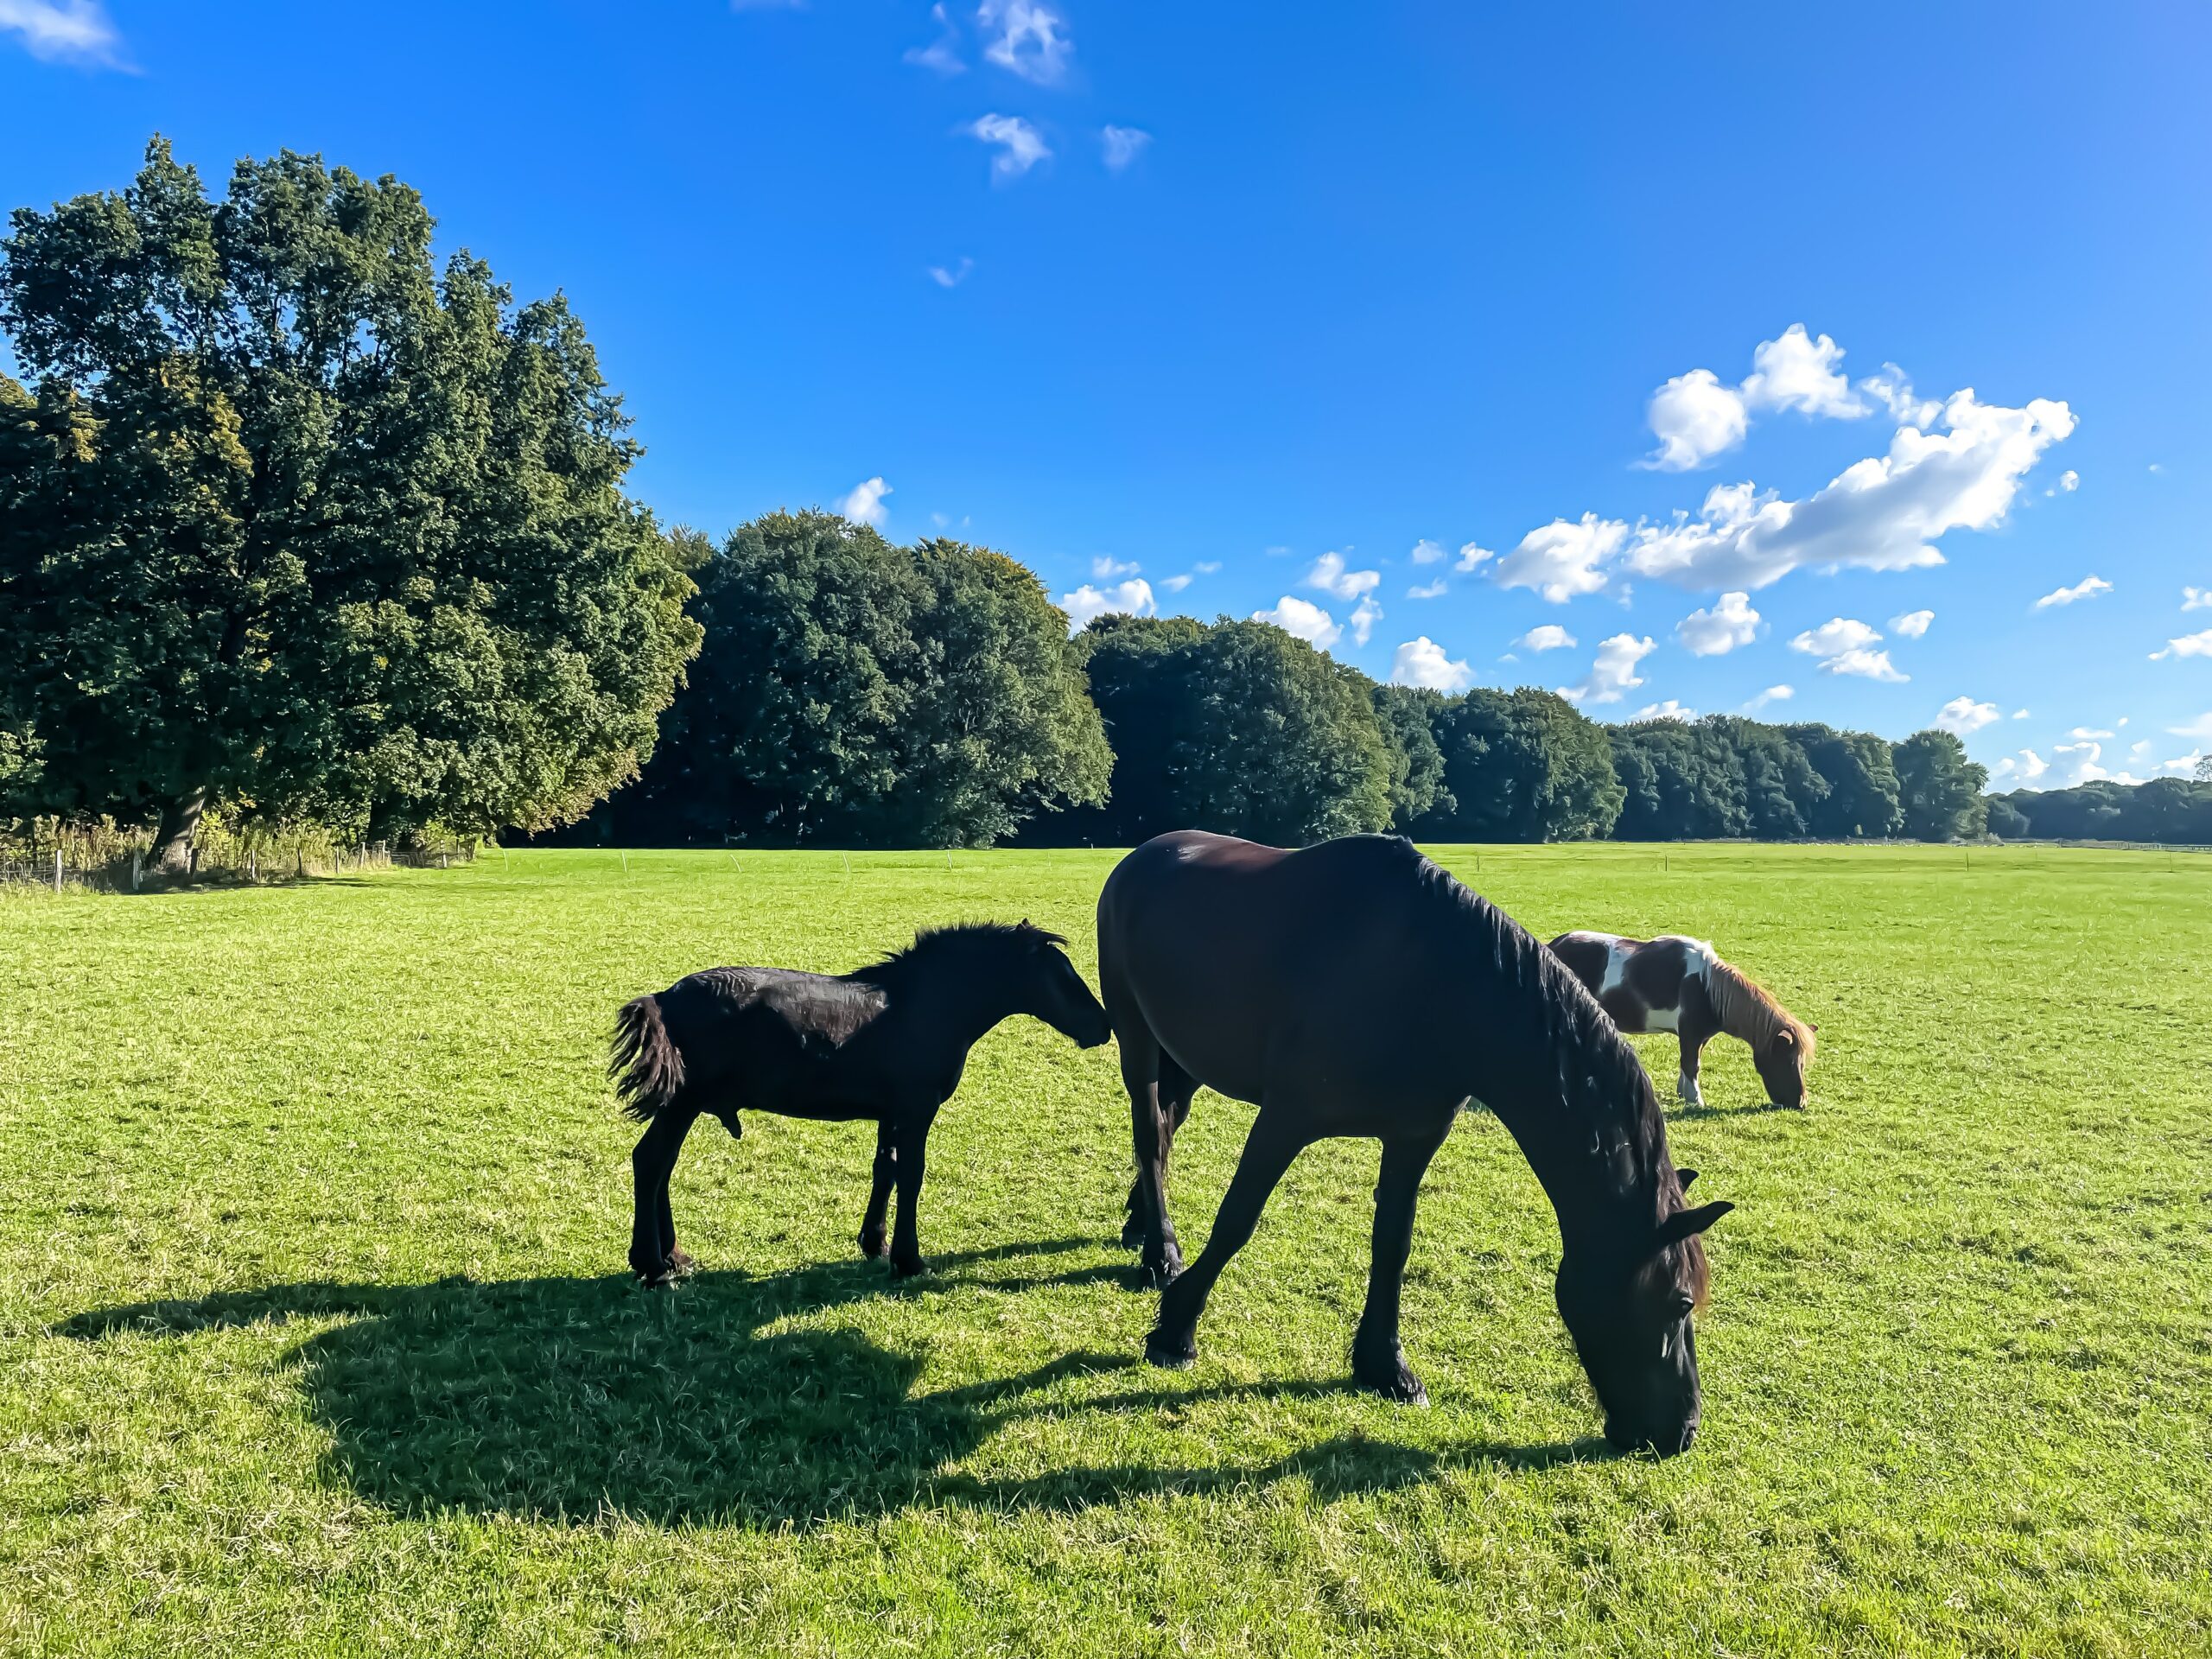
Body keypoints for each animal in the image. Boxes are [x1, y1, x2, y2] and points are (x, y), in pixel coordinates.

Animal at [610, 921, 1113, 1285]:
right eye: (1061, 976)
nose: (1103, 1026)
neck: (922, 1007)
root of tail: (664, 999)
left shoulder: (892, 1115)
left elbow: (885, 1170)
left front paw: (877, 1244)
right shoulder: (916, 1112)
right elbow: (911, 1176)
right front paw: (910, 1260)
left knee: (662, 1165)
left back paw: (673, 1256)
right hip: (683, 1104)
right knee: (651, 1161)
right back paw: (653, 1266)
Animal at [1098, 830, 1734, 1456]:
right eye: (1680, 1301)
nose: (1682, 1432)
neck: (1436, 987)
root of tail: (1146, 855)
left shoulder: (1413, 1135)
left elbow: (1393, 1244)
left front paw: (1385, 1366)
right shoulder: (1286, 1119)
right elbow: (1237, 1220)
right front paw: (1174, 1331)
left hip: (1186, 1054)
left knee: (1167, 1125)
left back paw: (1140, 1226)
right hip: (1137, 1037)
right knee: (1150, 1135)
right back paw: (1161, 1253)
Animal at [1547, 932, 1816, 1109]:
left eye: (1803, 1063)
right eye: (1787, 1061)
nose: (1800, 1103)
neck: (1705, 986)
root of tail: (1553, 945)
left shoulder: (1697, 1036)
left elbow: (1689, 1063)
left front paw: (1683, 1092)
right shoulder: (1690, 1033)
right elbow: (1691, 1064)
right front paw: (1696, 1100)